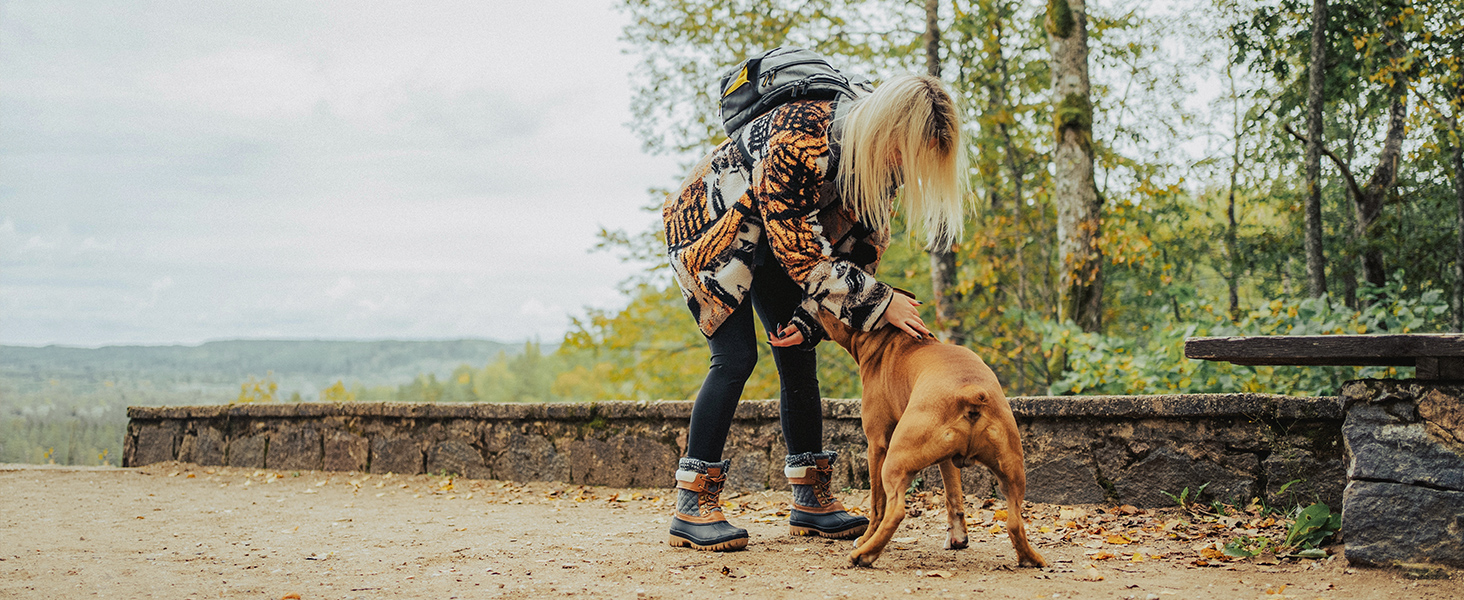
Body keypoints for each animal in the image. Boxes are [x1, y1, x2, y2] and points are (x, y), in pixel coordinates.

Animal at [819, 307, 1048, 570]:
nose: (806, 304)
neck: (890, 339)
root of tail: (970, 391)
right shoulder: (949, 460)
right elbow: (953, 495)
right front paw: (958, 538)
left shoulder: (876, 444)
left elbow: (877, 504)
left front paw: (865, 538)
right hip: (1012, 472)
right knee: (1015, 521)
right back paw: (1030, 558)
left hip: (895, 461)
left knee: (895, 511)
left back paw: (865, 553)